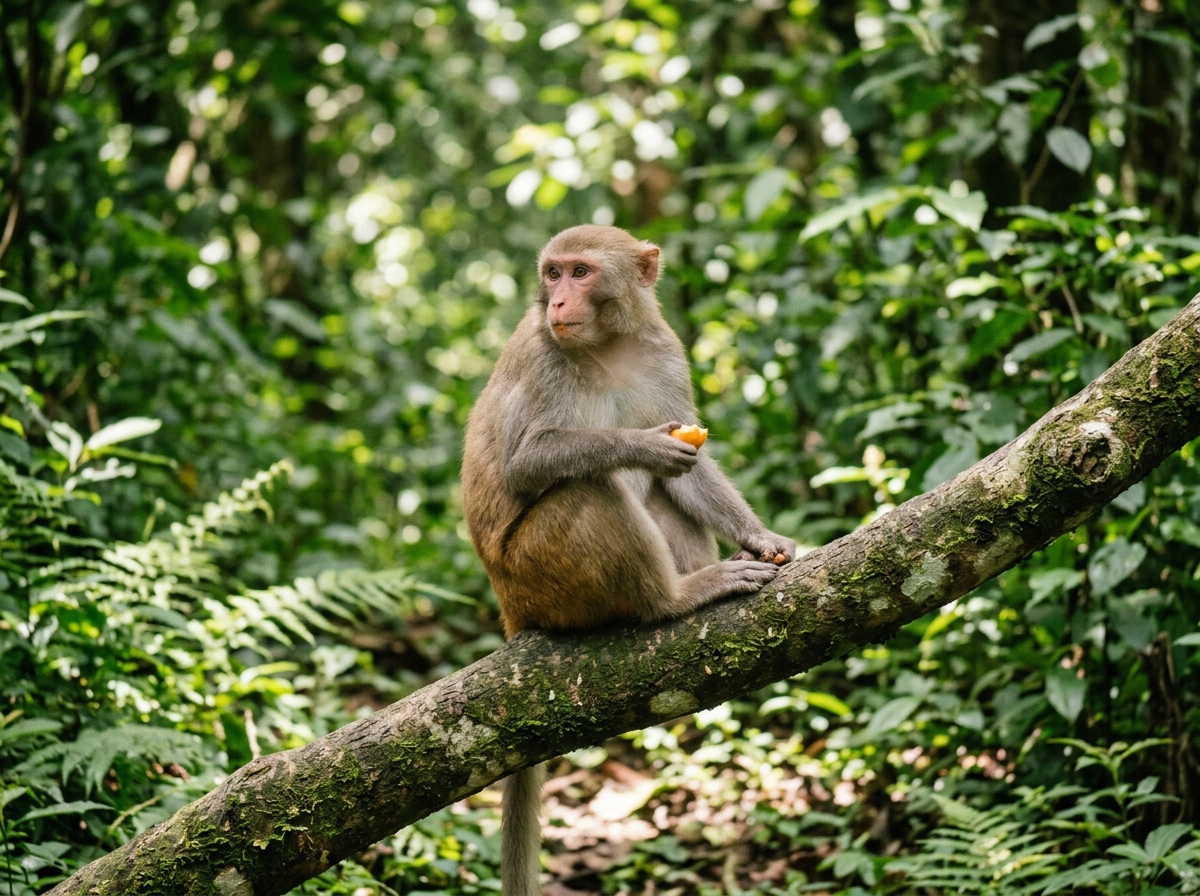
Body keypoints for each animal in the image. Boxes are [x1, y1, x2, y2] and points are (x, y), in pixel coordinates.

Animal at [461, 224, 796, 896]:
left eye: (580, 272)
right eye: (553, 273)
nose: (558, 302)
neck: (608, 344)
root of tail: (511, 607)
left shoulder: (664, 352)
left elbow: (693, 466)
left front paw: (762, 537)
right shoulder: (544, 357)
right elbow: (528, 463)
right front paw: (643, 445)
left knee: (663, 496)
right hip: (540, 573)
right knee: (592, 486)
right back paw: (672, 600)